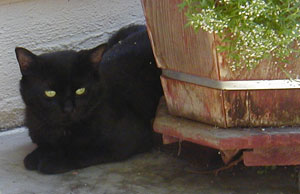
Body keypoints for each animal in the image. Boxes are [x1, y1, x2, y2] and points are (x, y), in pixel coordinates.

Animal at [15, 24, 163, 174]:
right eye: (50, 93)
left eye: (80, 90)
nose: (69, 108)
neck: (62, 130)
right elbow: (45, 146)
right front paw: (36, 155)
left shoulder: (129, 139)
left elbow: (84, 151)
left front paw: (53, 161)